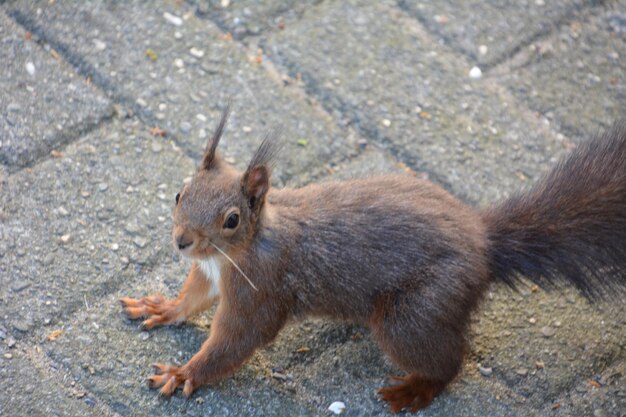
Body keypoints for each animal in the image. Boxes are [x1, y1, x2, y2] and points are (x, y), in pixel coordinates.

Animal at [120, 105, 624, 412]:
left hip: (410, 317)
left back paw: (415, 389)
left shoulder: (260, 290)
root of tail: (484, 243)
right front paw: (161, 307)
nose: (182, 241)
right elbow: (191, 299)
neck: (240, 251)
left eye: (231, 219)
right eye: (180, 192)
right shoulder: (210, 274)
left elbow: (236, 340)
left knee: (450, 360)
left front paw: (185, 372)